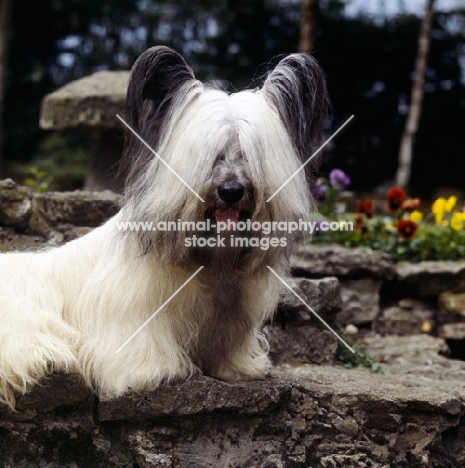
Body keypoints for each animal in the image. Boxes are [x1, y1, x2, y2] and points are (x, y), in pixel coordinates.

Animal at [0, 46, 328, 410]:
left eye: (248, 153)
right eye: (212, 154)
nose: (231, 190)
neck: (210, 260)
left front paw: (237, 367)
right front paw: (154, 370)